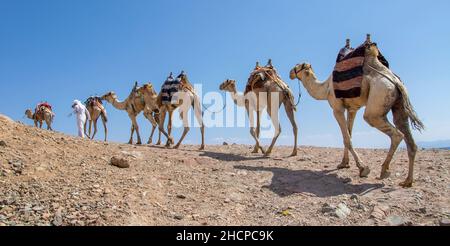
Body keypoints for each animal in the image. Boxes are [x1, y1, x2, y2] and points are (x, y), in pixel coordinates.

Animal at [290, 42, 424, 188]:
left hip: (378, 98)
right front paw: (344, 163)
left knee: (396, 133)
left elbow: (347, 139)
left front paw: (363, 168)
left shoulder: (337, 109)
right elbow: (349, 134)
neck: (325, 88)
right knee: (408, 137)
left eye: (298, 66)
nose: (290, 72)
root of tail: (396, 82)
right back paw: (407, 181)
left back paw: (384, 171)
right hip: (398, 104)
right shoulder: (352, 109)